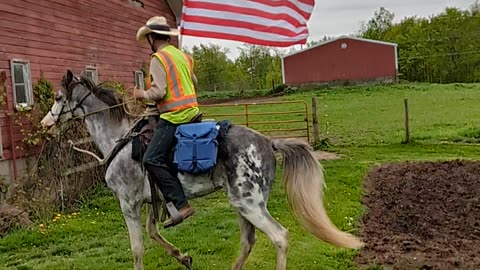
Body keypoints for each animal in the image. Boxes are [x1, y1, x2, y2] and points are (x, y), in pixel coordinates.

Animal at [41, 70, 364, 270]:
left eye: (57, 98)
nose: (45, 124)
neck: (119, 140)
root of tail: (268, 142)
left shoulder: (129, 203)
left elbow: (137, 248)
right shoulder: (151, 200)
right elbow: (154, 233)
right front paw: (184, 257)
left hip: (250, 205)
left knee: (280, 237)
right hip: (242, 204)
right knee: (248, 242)